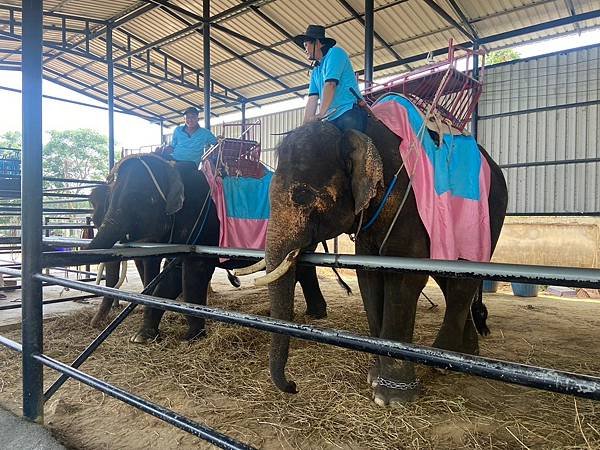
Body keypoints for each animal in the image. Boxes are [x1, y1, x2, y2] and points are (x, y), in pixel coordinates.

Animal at [88, 153, 328, 342]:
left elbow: (194, 273)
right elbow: (172, 279)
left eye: (142, 199)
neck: (174, 167)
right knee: (302, 268)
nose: (95, 325)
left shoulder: (204, 228)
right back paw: (309, 315)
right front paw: (142, 337)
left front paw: (192, 337)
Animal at [262, 118, 506, 406]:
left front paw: (391, 397)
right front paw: (375, 377)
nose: (293, 386)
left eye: (303, 195)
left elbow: (403, 278)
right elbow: (368, 275)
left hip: (488, 217)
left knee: (464, 279)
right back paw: (464, 355)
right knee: (450, 277)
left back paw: (442, 361)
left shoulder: (406, 204)